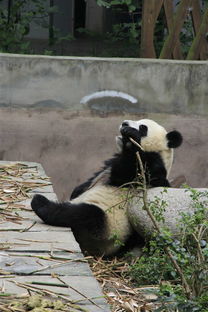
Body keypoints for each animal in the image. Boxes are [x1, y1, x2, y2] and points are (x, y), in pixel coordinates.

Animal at [30, 118, 182, 258]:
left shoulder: (148, 167)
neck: (158, 153)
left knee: (85, 214)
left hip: (104, 230)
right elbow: (93, 178)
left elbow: (125, 171)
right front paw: (76, 191)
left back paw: (41, 203)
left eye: (143, 128)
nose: (124, 123)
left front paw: (131, 137)